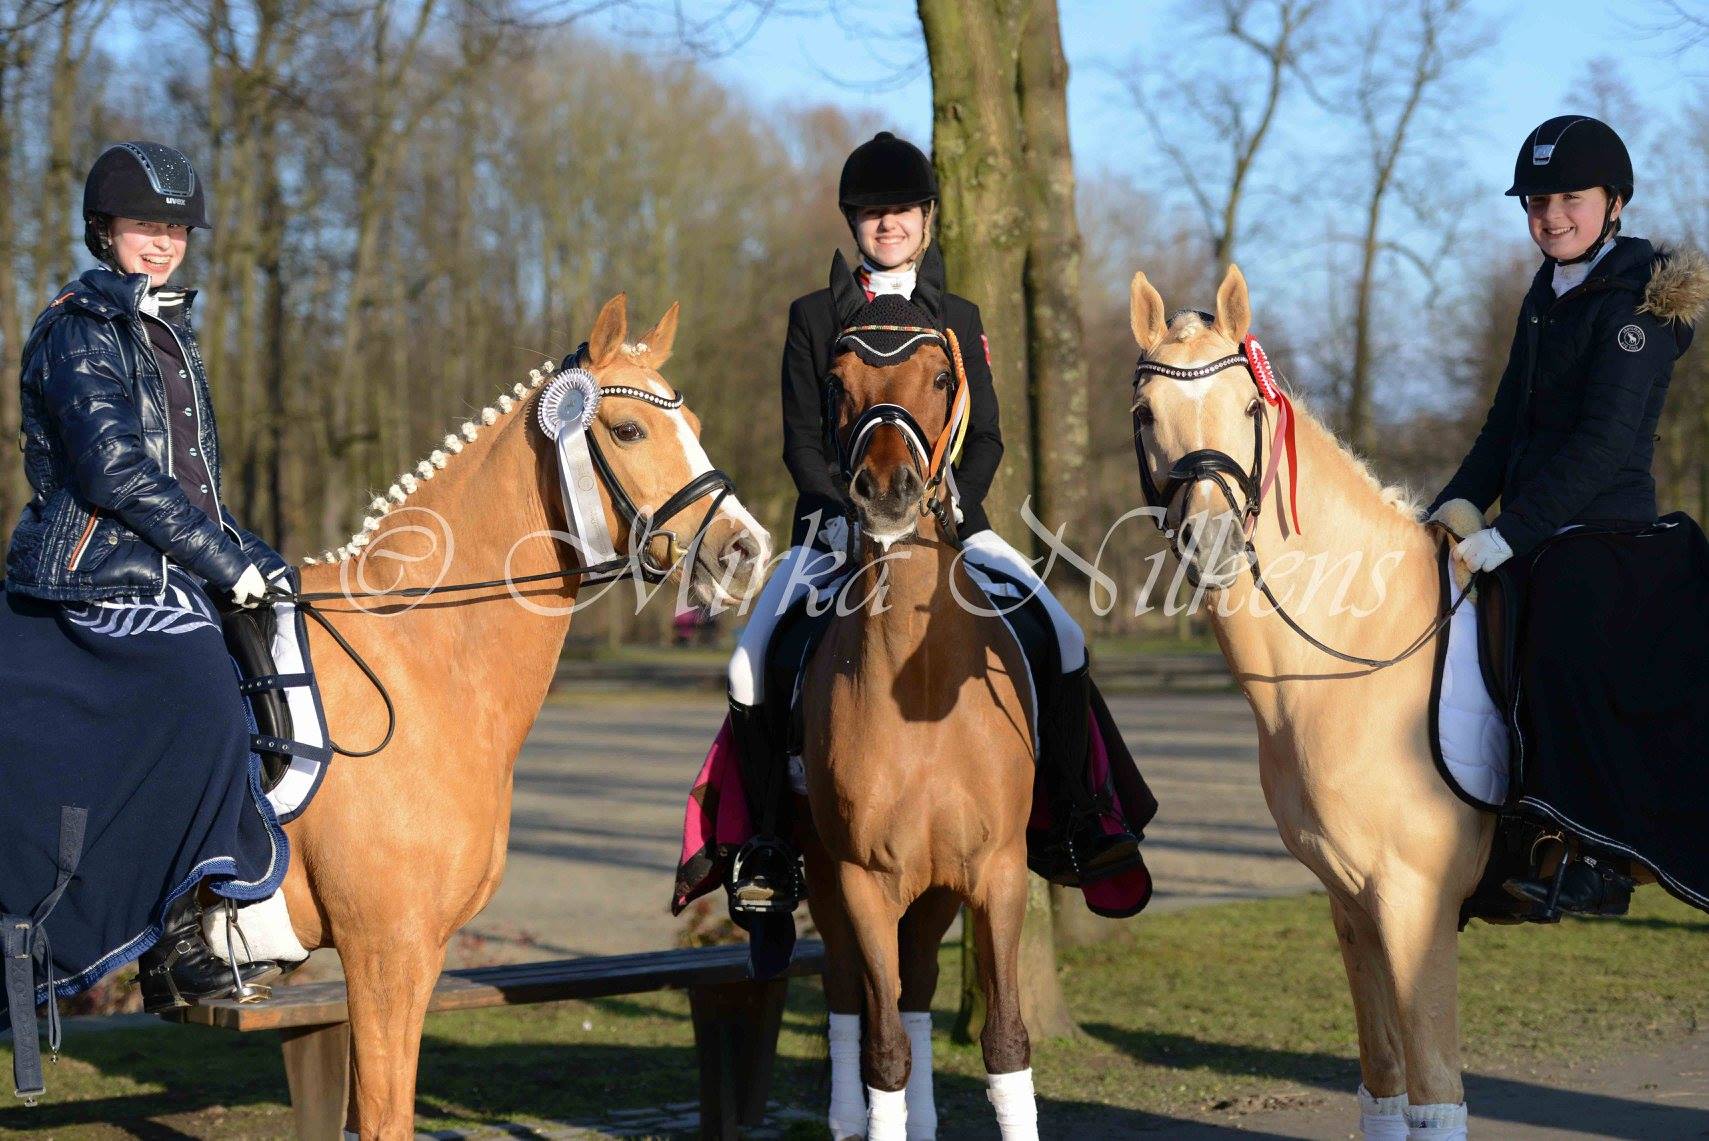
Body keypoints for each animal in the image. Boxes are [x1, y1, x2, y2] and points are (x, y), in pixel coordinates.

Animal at [273, 297, 769, 1141]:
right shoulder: (384, 951)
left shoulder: (415, 957)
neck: (413, 657)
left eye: (696, 422)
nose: (748, 550)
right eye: (627, 431)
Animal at [792, 298, 1032, 1134]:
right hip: (830, 878)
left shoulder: (997, 870)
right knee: (848, 997)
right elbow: (883, 1049)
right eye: (836, 382)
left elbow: (1004, 1041)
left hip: (934, 890)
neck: (917, 692)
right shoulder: (862, 880)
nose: (886, 491)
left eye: (939, 377)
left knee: (919, 984)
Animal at [1127, 263, 1490, 1134]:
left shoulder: (1415, 903)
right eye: (1145, 413)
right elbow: (1384, 1088)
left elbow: (1434, 1095)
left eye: (1248, 408)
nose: (1212, 544)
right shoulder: (1353, 906)